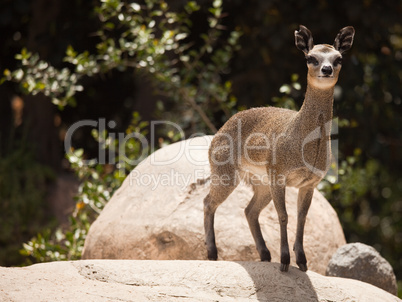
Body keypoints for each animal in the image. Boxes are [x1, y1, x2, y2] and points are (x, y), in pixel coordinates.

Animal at [204, 25, 354, 272]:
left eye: (338, 58)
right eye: (311, 57)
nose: (327, 69)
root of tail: (217, 134)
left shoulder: (309, 184)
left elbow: (301, 218)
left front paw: (301, 261)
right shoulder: (279, 177)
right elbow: (283, 216)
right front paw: (284, 261)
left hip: (261, 184)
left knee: (249, 210)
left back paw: (265, 255)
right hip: (227, 175)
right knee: (209, 202)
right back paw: (212, 254)